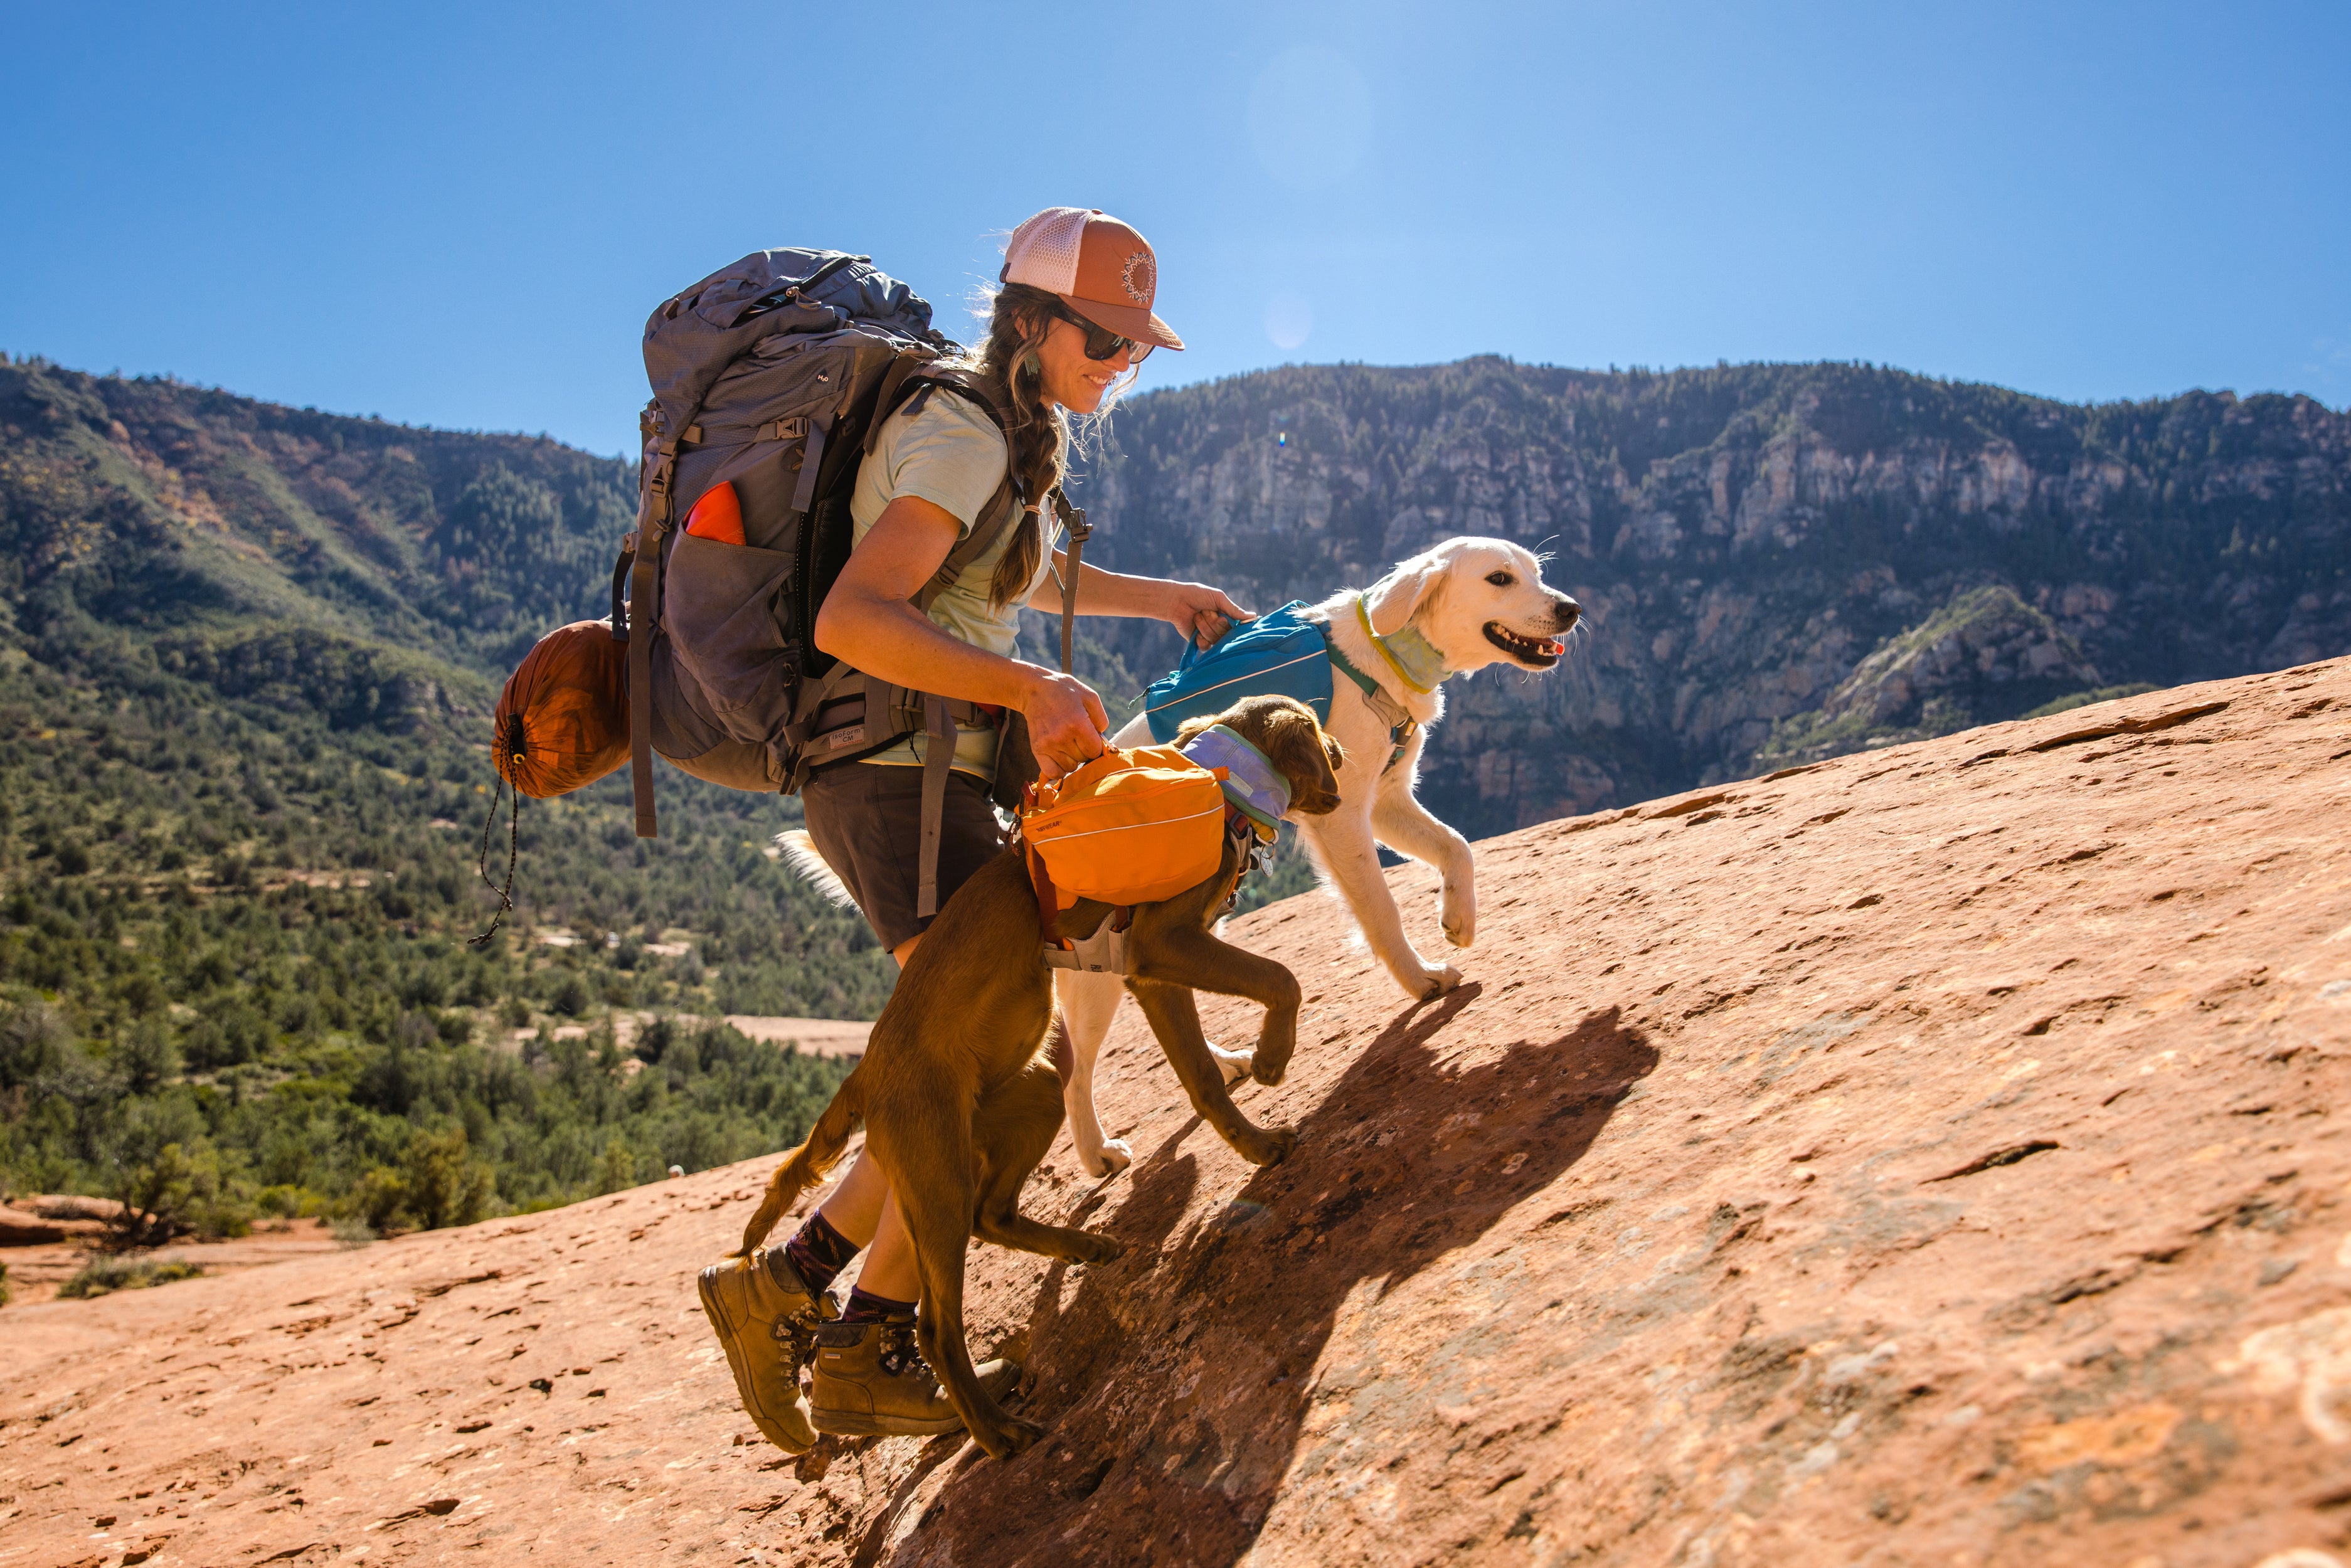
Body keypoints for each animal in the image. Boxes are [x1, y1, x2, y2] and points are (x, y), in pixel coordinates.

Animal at [743, 700, 1354, 1457]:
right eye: (1320, 735)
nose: (1347, 755)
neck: (1219, 779)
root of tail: (865, 1074)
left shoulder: (1149, 973)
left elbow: (1204, 1079)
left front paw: (1252, 1140)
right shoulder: (1164, 943)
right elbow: (1280, 979)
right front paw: (1271, 1065)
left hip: (1030, 1095)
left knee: (995, 1212)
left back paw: (1084, 1246)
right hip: (937, 1178)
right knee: (937, 1325)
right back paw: (997, 1430)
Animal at [1063, 541, 1579, 1175]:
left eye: (1538, 572)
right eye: (1500, 579)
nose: (1572, 609)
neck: (1383, 655)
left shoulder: (1387, 799)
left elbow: (1457, 846)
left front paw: (1458, 918)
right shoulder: (1343, 814)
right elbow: (1381, 909)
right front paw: (1421, 980)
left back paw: (1226, 1061)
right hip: (1097, 971)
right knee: (1074, 1071)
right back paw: (1096, 1152)